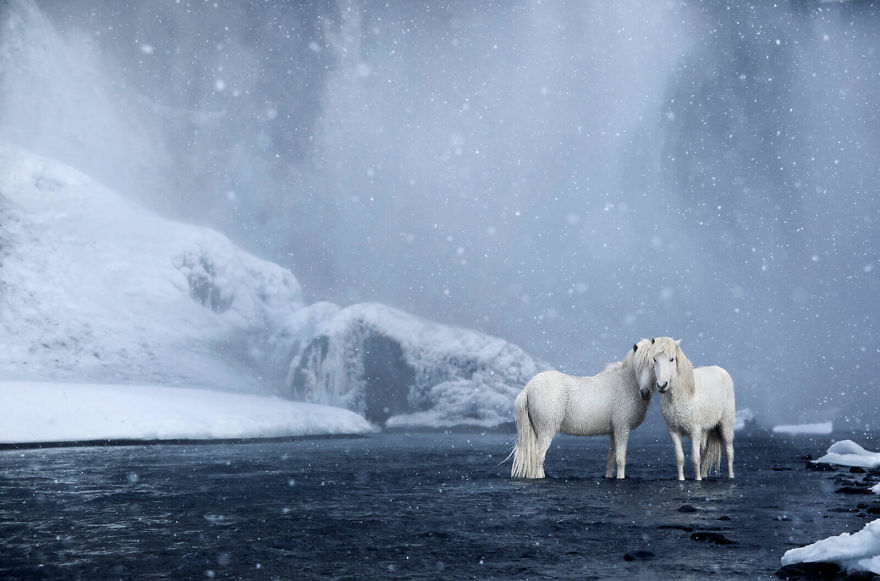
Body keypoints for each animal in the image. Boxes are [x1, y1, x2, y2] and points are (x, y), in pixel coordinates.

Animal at [508, 339, 656, 479]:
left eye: (654, 365)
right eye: (638, 367)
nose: (645, 393)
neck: (626, 384)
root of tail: (528, 388)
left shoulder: (614, 431)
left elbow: (611, 458)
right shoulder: (622, 429)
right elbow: (620, 459)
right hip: (546, 430)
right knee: (539, 457)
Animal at [649, 337, 735, 481]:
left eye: (672, 359)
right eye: (654, 359)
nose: (662, 385)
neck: (681, 397)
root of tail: (723, 371)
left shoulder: (695, 432)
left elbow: (695, 458)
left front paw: (698, 480)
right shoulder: (674, 432)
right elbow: (680, 458)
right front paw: (681, 479)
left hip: (725, 425)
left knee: (729, 451)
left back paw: (731, 476)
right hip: (706, 430)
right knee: (706, 452)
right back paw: (704, 474)